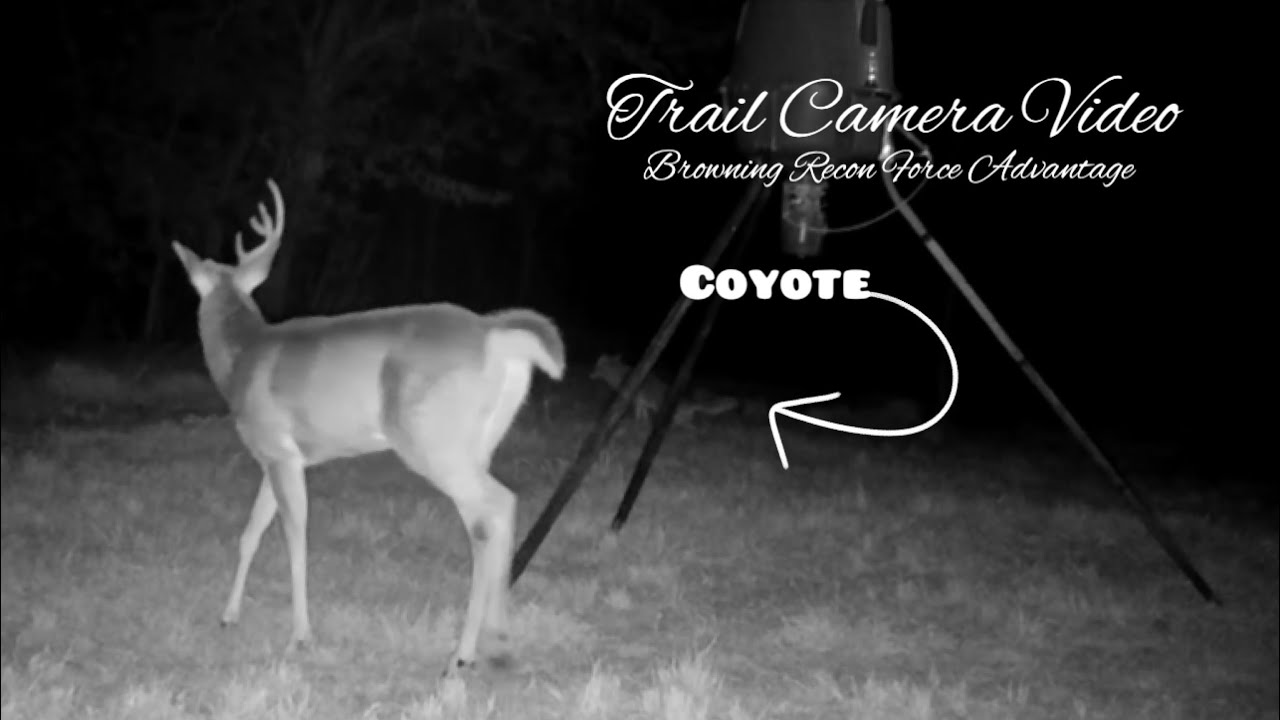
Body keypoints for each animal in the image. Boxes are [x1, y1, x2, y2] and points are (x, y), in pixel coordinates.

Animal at [172, 179, 565, 677]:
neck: (241, 359)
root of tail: (494, 334)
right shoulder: (276, 457)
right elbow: (250, 533)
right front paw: (229, 615)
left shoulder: (277, 451)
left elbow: (294, 537)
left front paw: (300, 635)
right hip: (479, 442)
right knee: (504, 505)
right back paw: (500, 641)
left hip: (431, 438)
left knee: (489, 511)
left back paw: (463, 652)